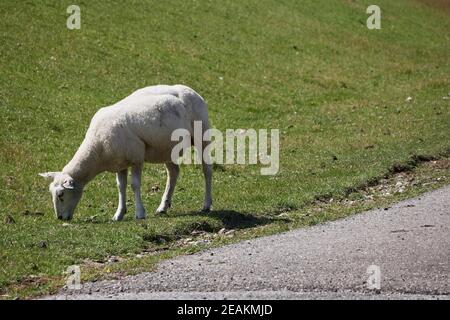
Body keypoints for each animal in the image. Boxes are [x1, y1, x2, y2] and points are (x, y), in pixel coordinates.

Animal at [39, 84, 213, 221]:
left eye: (61, 194)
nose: (60, 218)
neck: (97, 147)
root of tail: (191, 90)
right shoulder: (119, 163)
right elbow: (120, 187)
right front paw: (119, 214)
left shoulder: (136, 157)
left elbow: (134, 185)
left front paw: (140, 213)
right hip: (167, 148)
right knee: (173, 173)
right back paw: (163, 206)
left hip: (202, 135)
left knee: (207, 170)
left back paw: (207, 204)